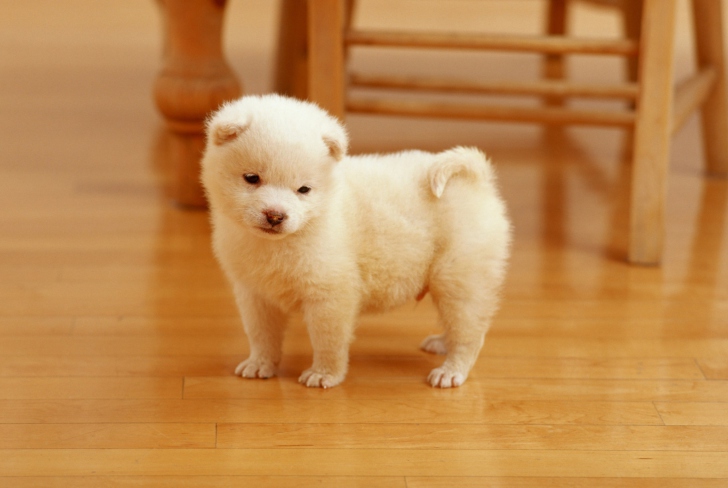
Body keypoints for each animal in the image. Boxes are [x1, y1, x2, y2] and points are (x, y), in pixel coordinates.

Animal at [200, 94, 512, 388]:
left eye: (303, 189)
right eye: (251, 178)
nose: (275, 215)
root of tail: (478, 180)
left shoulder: (331, 295)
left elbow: (328, 340)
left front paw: (324, 374)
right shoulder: (255, 294)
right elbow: (261, 335)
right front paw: (260, 364)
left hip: (459, 278)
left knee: (469, 333)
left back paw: (451, 371)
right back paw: (441, 344)